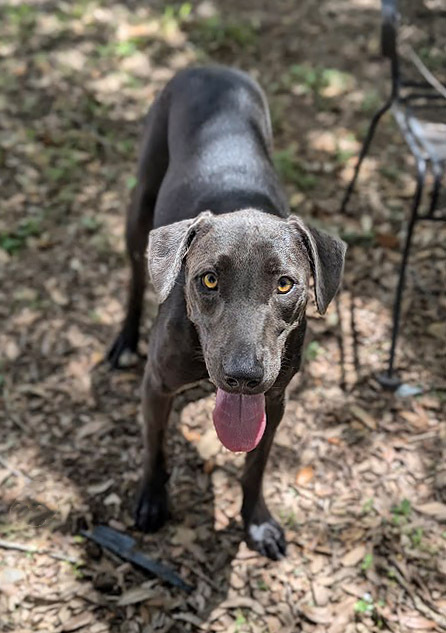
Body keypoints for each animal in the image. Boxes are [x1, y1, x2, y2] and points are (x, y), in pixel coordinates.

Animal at [110, 64, 346, 556]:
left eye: (285, 284)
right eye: (209, 280)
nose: (242, 376)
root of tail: (208, 67)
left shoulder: (274, 401)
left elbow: (255, 467)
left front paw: (257, 522)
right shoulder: (156, 385)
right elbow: (154, 445)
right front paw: (152, 498)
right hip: (141, 206)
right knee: (137, 273)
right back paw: (124, 339)